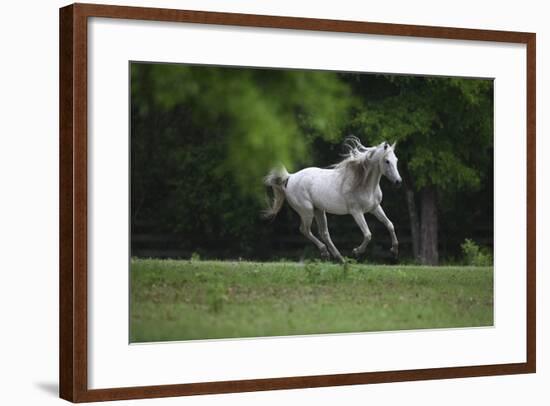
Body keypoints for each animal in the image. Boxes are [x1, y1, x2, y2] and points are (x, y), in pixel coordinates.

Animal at [266, 137, 404, 264]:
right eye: (387, 161)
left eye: (396, 160)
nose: (398, 182)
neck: (364, 183)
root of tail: (290, 177)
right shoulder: (356, 212)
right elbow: (368, 234)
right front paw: (356, 252)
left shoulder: (375, 208)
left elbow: (390, 225)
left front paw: (394, 251)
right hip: (307, 211)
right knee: (305, 230)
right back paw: (325, 252)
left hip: (319, 210)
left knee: (324, 233)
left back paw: (339, 258)